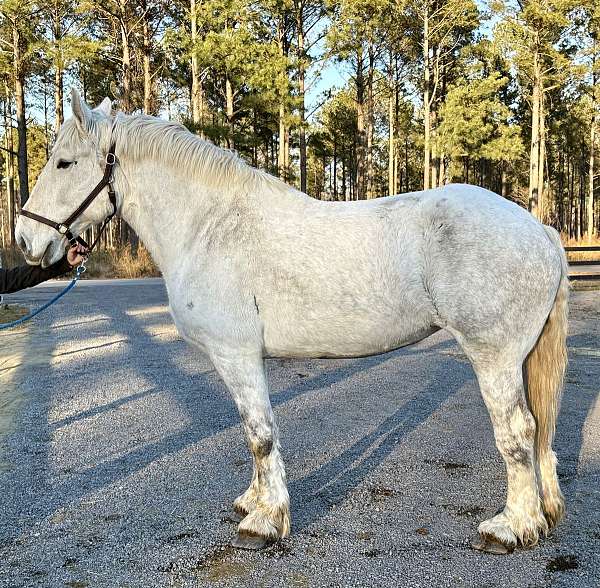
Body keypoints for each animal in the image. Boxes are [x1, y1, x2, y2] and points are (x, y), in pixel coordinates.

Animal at [12, 89, 568, 552]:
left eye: (64, 162)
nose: (26, 240)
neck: (211, 227)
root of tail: (539, 229)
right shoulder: (243, 359)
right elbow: (253, 433)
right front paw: (255, 501)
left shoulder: (236, 355)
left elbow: (260, 434)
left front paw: (264, 523)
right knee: (537, 430)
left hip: (494, 358)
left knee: (518, 432)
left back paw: (511, 528)